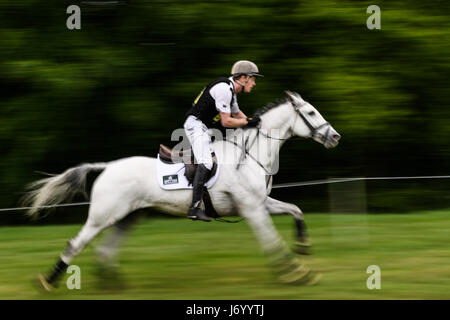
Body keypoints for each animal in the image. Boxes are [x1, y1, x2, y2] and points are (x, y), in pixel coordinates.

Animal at [23, 90, 342, 290]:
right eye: (311, 112)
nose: (335, 137)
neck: (250, 153)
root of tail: (107, 167)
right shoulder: (252, 209)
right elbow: (272, 242)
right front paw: (297, 274)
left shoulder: (260, 204)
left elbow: (295, 210)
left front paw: (303, 246)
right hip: (103, 216)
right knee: (75, 245)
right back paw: (47, 282)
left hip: (128, 217)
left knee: (105, 250)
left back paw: (113, 285)